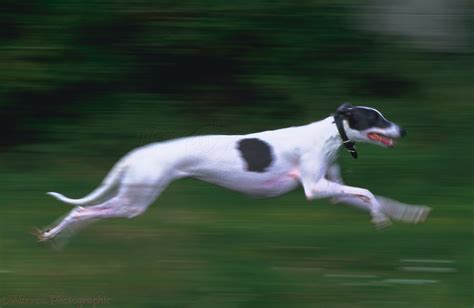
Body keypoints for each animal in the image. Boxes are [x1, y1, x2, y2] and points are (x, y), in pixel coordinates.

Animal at [37, 104, 430, 243]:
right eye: (375, 117)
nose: (404, 130)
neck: (327, 135)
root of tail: (136, 154)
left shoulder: (331, 188)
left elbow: (376, 197)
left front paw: (407, 214)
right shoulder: (316, 188)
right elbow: (368, 193)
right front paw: (380, 219)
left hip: (131, 196)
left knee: (85, 212)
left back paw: (56, 236)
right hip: (135, 200)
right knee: (82, 210)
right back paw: (55, 235)